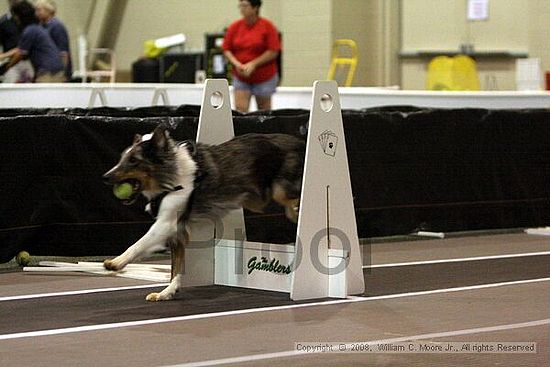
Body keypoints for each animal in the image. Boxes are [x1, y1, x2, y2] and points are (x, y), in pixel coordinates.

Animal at [101, 123, 304, 302]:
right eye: (121, 158)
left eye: (133, 161)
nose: (105, 177)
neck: (170, 177)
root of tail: (299, 141)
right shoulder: (177, 232)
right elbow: (176, 268)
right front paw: (167, 293)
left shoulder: (166, 224)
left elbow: (139, 243)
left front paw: (117, 262)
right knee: (291, 210)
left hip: (280, 190)